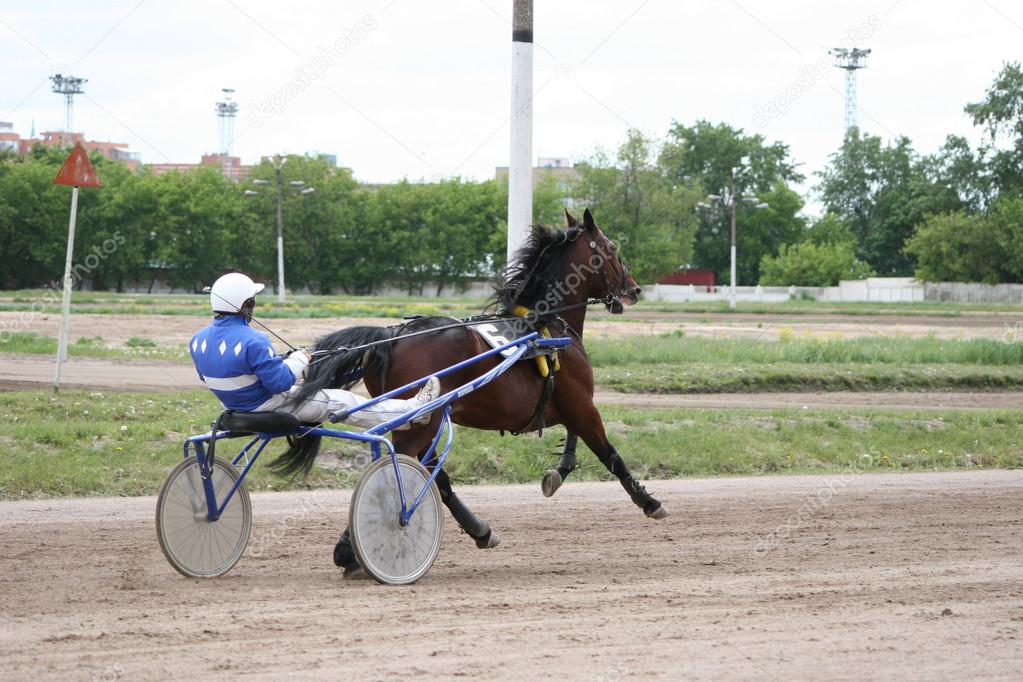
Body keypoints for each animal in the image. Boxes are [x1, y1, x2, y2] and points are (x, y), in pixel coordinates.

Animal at [272, 209, 671, 576]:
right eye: (612, 248)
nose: (635, 289)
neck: (546, 326)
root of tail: (392, 336)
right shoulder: (582, 405)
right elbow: (610, 454)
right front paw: (650, 502)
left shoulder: (569, 404)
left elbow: (574, 442)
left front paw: (558, 472)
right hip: (424, 420)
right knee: (405, 467)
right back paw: (361, 543)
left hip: (419, 419)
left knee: (431, 473)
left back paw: (477, 529)